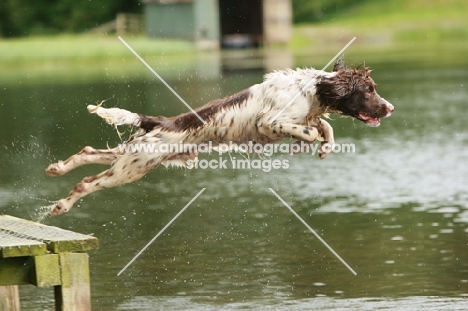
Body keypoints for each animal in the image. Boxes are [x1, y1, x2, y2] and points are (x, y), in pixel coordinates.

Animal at [45, 57, 394, 216]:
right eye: (368, 90)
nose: (389, 108)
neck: (313, 90)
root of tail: (160, 122)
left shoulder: (309, 114)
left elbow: (325, 127)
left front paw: (324, 148)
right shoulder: (270, 122)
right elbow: (308, 130)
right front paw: (308, 143)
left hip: (136, 159)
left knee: (88, 152)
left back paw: (57, 169)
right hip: (132, 167)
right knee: (87, 183)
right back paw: (61, 206)